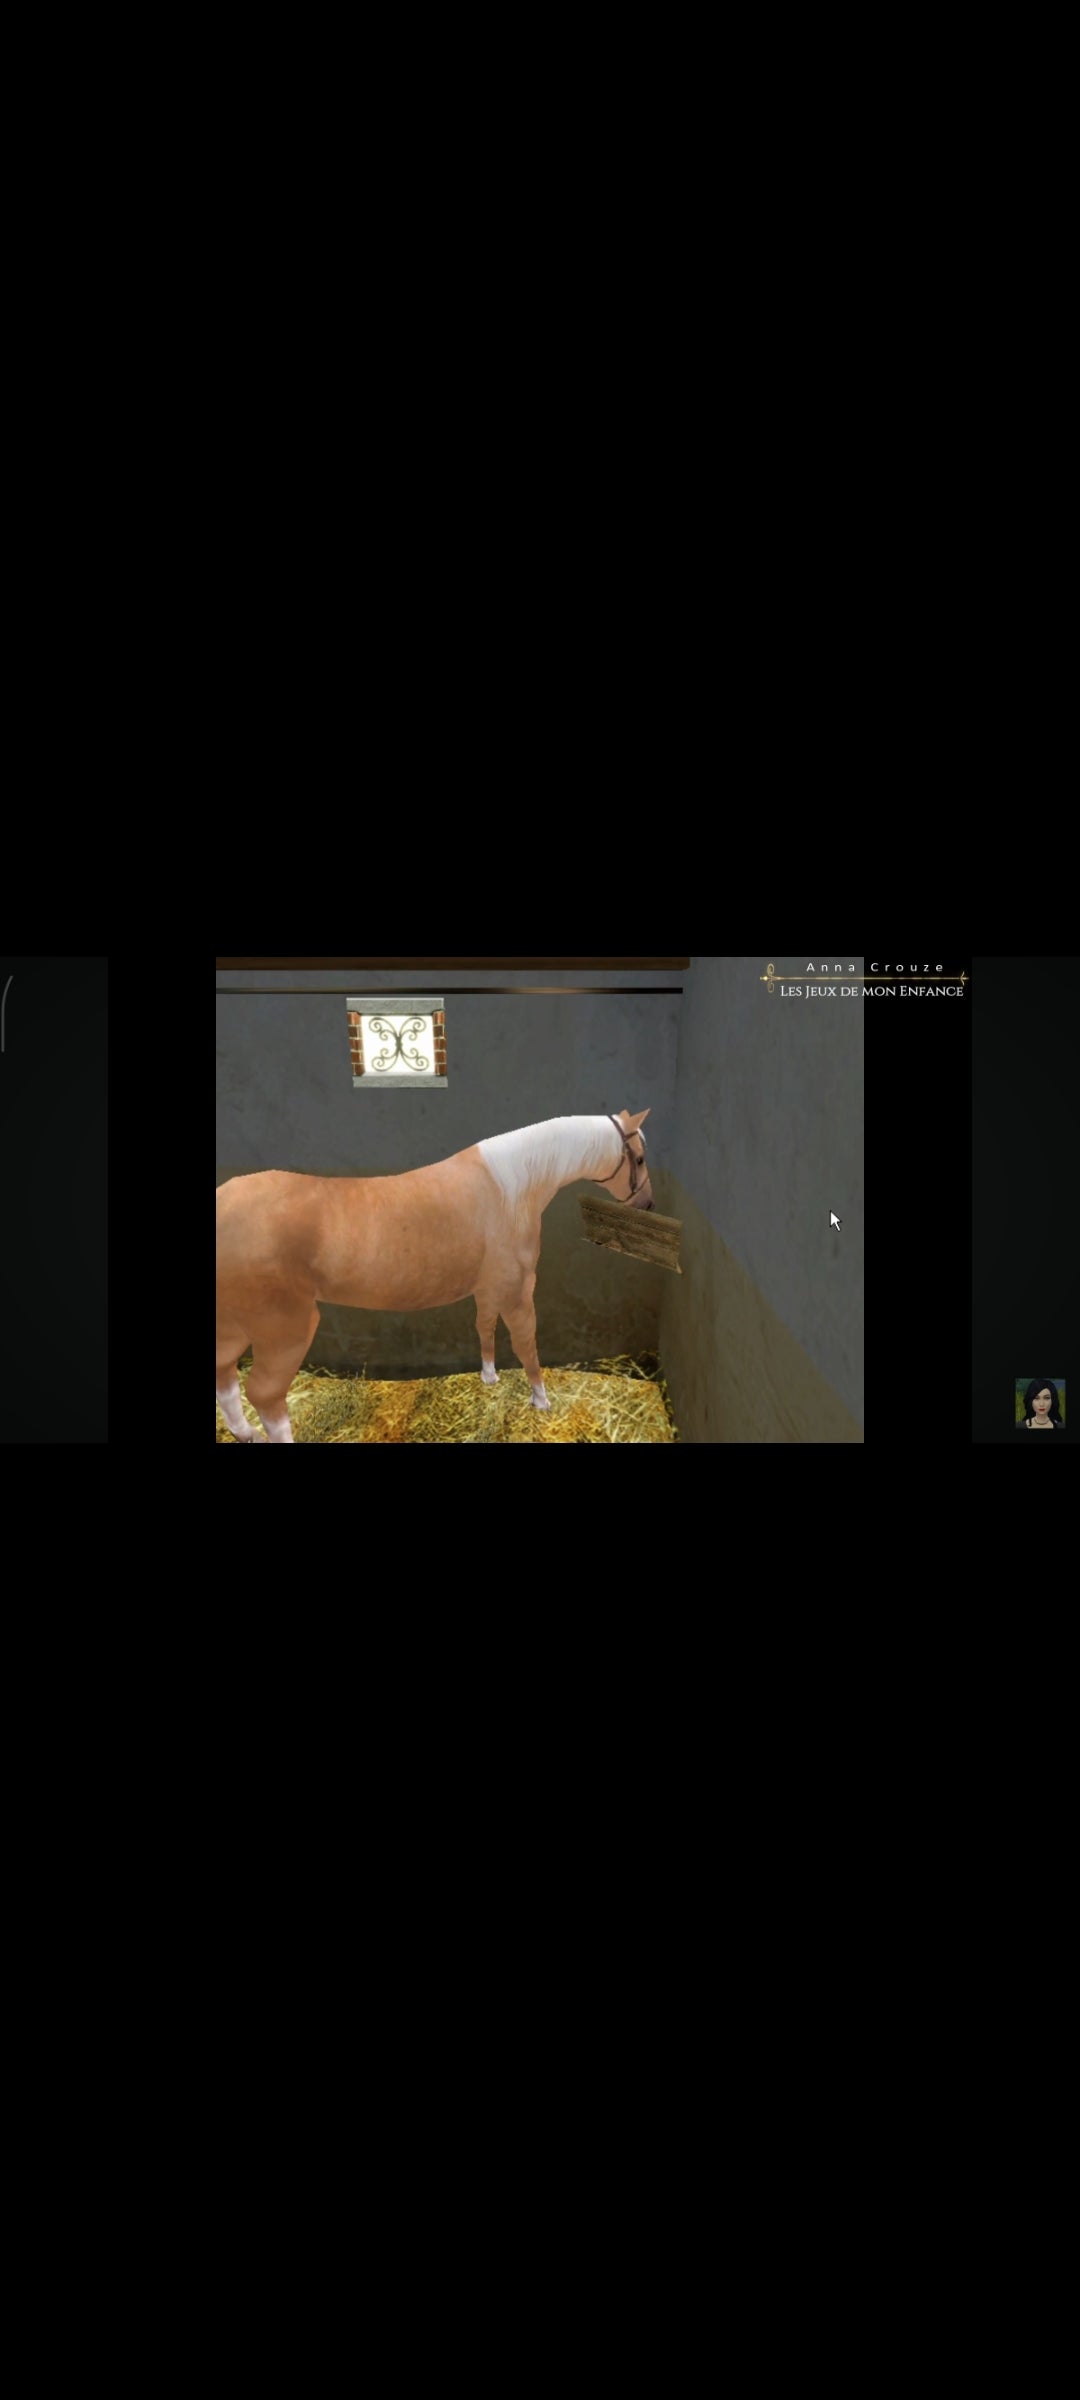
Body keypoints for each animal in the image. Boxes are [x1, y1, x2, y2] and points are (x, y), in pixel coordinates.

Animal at [216, 1109, 654, 1442]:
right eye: (640, 1158)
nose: (648, 1204)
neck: (512, 1185)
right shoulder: (517, 1289)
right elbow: (526, 1342)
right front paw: (541, 1400)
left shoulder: (488, 1287)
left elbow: (484, 1326)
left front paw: (489, 1377)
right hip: (284, 1328)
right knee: (265, 1394)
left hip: (233, 1324)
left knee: (225, 1374)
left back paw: (244, 1433)